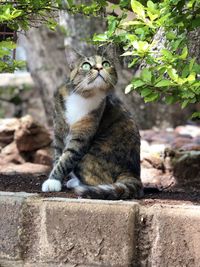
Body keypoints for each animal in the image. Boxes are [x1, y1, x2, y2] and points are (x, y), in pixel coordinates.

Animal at [41, 47, 143, 200]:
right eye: (85, 65)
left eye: (106, 63)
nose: (99, 67)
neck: (83, 96)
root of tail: (133, 172)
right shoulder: (58, 130)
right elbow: (58, 155)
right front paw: (54, 181)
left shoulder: (82, 135)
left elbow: (66, 159)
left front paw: (52, 181)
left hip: (91, 156)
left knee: (100, 180)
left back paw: (77, 183)